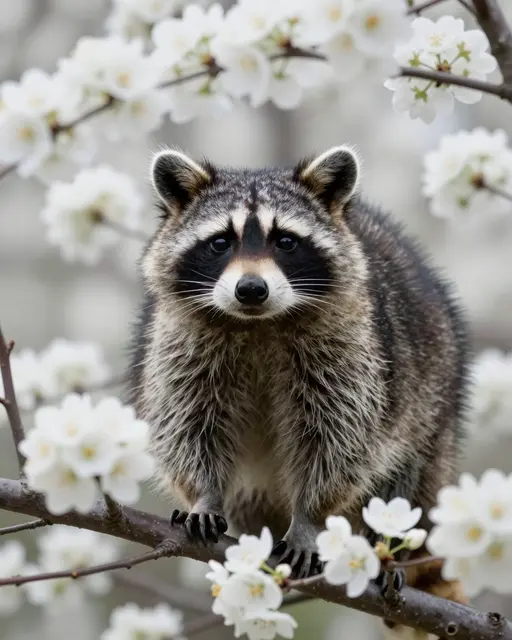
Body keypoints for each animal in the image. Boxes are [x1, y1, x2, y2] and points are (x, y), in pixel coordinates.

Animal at [130, 146, 469, 626]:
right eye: (220, 242)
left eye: (286, 241)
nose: (251, 289)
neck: (258, 323)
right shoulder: (180, 347)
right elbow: (188, 423)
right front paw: (205, 496)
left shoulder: (351, 354)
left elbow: (336, 439)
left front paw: (309, 517)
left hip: (432, 403)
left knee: (406, 468)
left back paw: (383, 547)